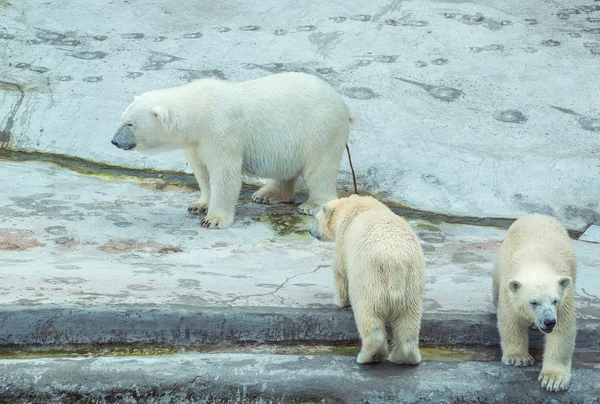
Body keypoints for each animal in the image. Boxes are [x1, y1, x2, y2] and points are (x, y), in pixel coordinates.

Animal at [112, 72, 352, 229]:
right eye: (122, 118)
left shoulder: (221, 132)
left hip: (320, 129)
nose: (114, 141)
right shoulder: (196, 143)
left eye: (130, 124)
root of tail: (342, 102)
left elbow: (224, 174)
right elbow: (203, 172)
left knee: (319, 168)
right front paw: (198, 205)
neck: (199, 110)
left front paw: (214, 219)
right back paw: (267, 195)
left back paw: (312, 205)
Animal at [310, 194, 426, 364]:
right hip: (412, 284)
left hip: (369, 278)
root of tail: (396, 265)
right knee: (408, 320)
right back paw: (403, 357)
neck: (355, 206)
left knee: (368, 315)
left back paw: (368, 355)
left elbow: (340, 271)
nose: (310, 231)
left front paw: (339, 301)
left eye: (315, 219)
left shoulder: (344, 241)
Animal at [492, 213, 576, 392]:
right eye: (534, 302)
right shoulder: (510, 292)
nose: (549, 322)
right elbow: (511, 321)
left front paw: (553, 380)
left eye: (555, 301)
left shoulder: (565, 300)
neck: (537, 263)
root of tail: (535, 215)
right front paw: (519, 358)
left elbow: (563, 331)